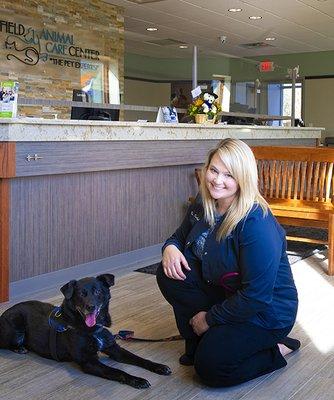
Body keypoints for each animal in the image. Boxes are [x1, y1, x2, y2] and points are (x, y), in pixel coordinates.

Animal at [0, 274, 172, 390]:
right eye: (81, 294)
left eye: (97, 292)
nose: (90, 307)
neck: (92, 330)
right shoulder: (89, 361)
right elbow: (117, 371)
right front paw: (137, 380)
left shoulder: (114, 349)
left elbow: (139, 358)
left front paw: (159, 367)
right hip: (17, 329)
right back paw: (20, 348)